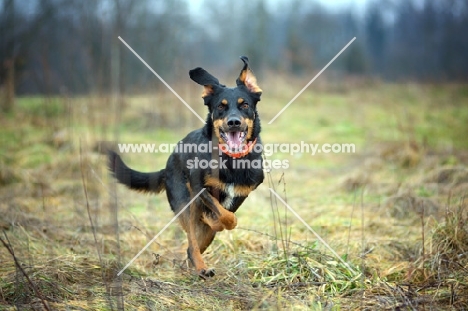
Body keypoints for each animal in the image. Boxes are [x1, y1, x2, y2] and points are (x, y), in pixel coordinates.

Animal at [108, 56, 266, 278]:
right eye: (221, 107)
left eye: (244, 105)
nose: (234, 122)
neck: (230, 158)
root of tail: (167, 165)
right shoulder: (198, 187)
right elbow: (224, 217)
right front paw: (212, 217)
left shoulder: (242, 192)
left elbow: (228, 217)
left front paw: (214, 218)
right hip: (184, 201)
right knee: (192, 242)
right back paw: (201, 266)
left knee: (193, 246)